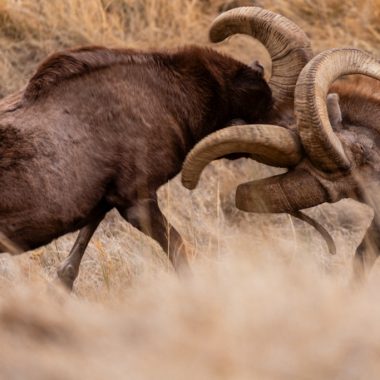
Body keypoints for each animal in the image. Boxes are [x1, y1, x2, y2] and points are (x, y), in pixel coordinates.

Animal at [0, 7, 312, 288]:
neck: (170, 99)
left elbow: (67, 270)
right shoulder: (138, 203)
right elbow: (180, 254)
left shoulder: (107, 201)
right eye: (267, 109)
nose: (298, 136)